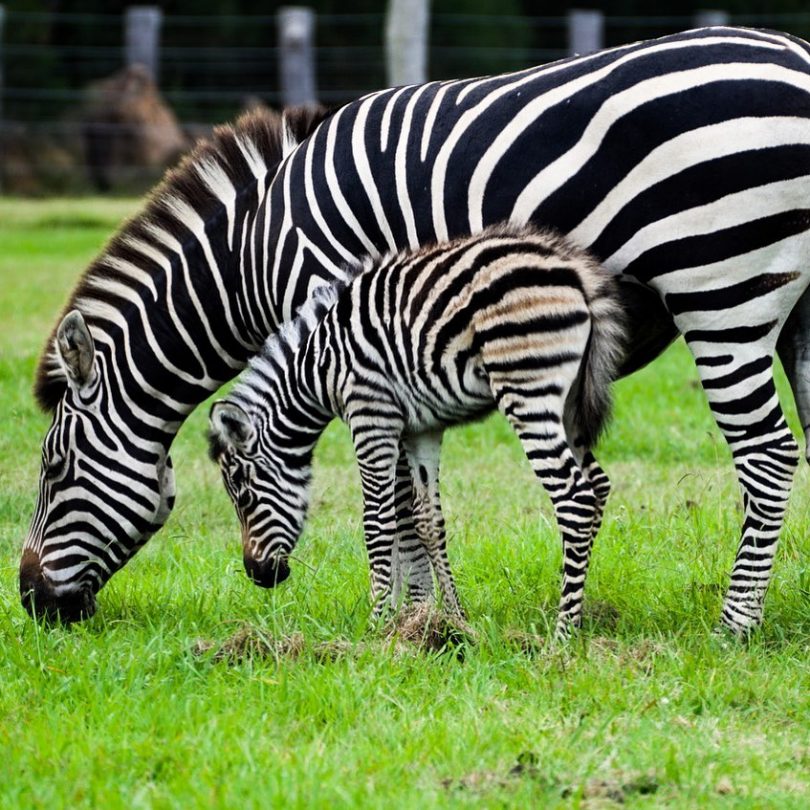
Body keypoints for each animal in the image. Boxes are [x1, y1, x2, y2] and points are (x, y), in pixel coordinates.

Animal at [205, 224, 620, 636]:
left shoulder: (370, 414)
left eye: (243, 496)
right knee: (597, 487)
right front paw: (453, 619)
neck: (317, 369)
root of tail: (573, 272)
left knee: (575, 497)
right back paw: (577, 611)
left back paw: (563, 633)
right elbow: (427, 520)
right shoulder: (422, 430)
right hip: (568, 405)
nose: (257, 575)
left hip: (527, 391)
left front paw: (375, 624)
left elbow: (377, 520)